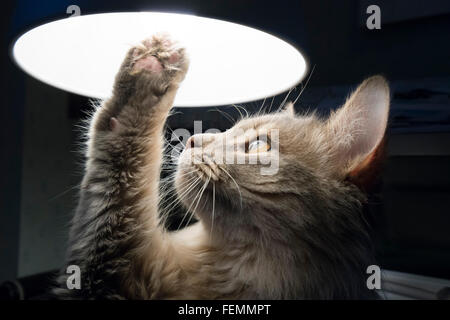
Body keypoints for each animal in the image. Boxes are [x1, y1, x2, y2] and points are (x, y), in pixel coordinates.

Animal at [53, 33, 390, 298]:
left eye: (259, 145)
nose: (193, 140)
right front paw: (153, 59)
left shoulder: (110, 262)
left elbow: (119, 153)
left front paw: (154, 66)